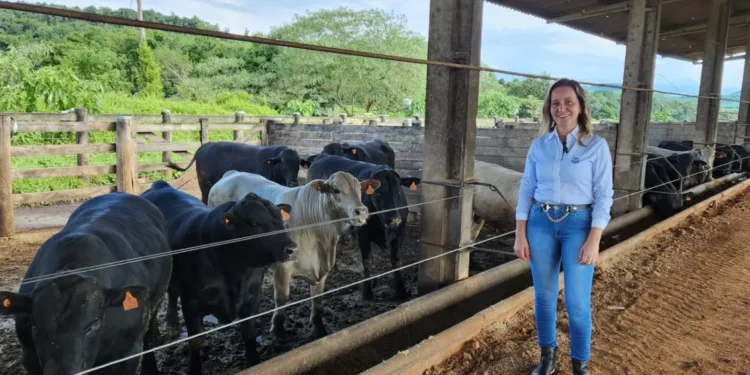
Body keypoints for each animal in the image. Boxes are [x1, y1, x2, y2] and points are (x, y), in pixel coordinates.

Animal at [140, 181, 296, 374]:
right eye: (253, 223)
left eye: (281, 220)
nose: (291, 248)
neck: (236, 273)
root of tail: (160, 185)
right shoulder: (191, 304)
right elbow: (196, 341)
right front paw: (193, 370)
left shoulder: (253, 296)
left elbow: (250, 332)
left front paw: (254, 362)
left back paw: (171, 322)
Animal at [207, 169, 378, 340]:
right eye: (336, 190)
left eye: (360, 189)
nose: (361, 211)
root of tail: (230, 174)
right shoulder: (283, 265)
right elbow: (282, 296)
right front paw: (277, 329)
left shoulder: (322, 268)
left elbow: (317, 298)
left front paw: (319, 329)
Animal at [306, 154, 424, 302]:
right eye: (378, 193)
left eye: (399, 191)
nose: (394, 219)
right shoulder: (362, 233)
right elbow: (367, 261)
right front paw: (367, 292)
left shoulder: (400, 232)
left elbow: (396, 259)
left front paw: (401, 291)